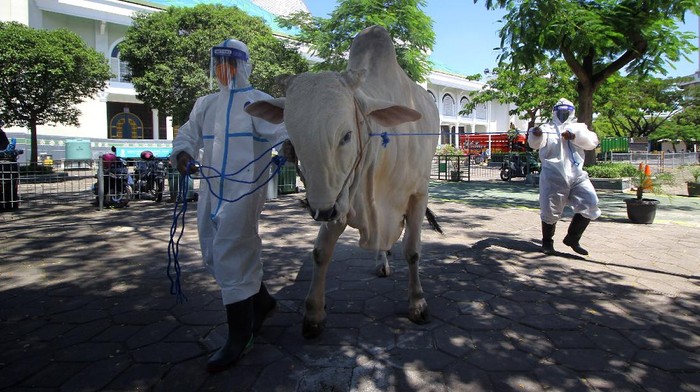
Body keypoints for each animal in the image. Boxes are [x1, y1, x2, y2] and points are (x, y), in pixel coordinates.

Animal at [246, 24, 440, 338]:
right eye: (294, 138)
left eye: (347, 136)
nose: (319, 211)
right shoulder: (339, 196)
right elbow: (320, 252)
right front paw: (314, 314)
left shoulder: (417, 196)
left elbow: (412, 251)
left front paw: (418, 303)